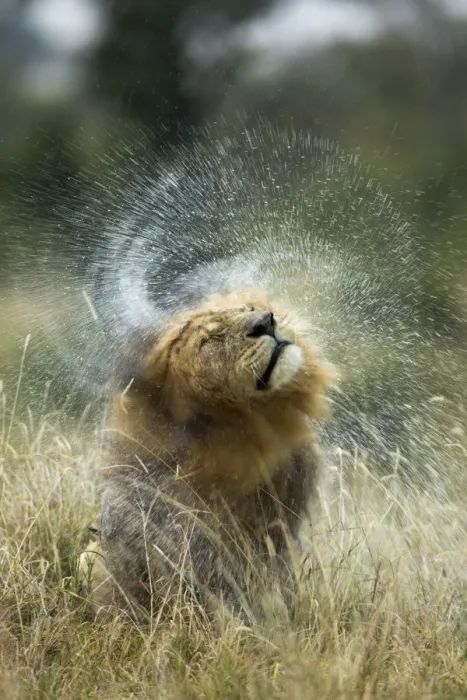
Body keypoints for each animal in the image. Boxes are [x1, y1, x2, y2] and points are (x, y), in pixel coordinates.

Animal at [78, 288, 333, 620]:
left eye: (250, 308)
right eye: (210, 340)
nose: (266, 321)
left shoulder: (281, 527)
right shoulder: (197, 549)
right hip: (92, 557)